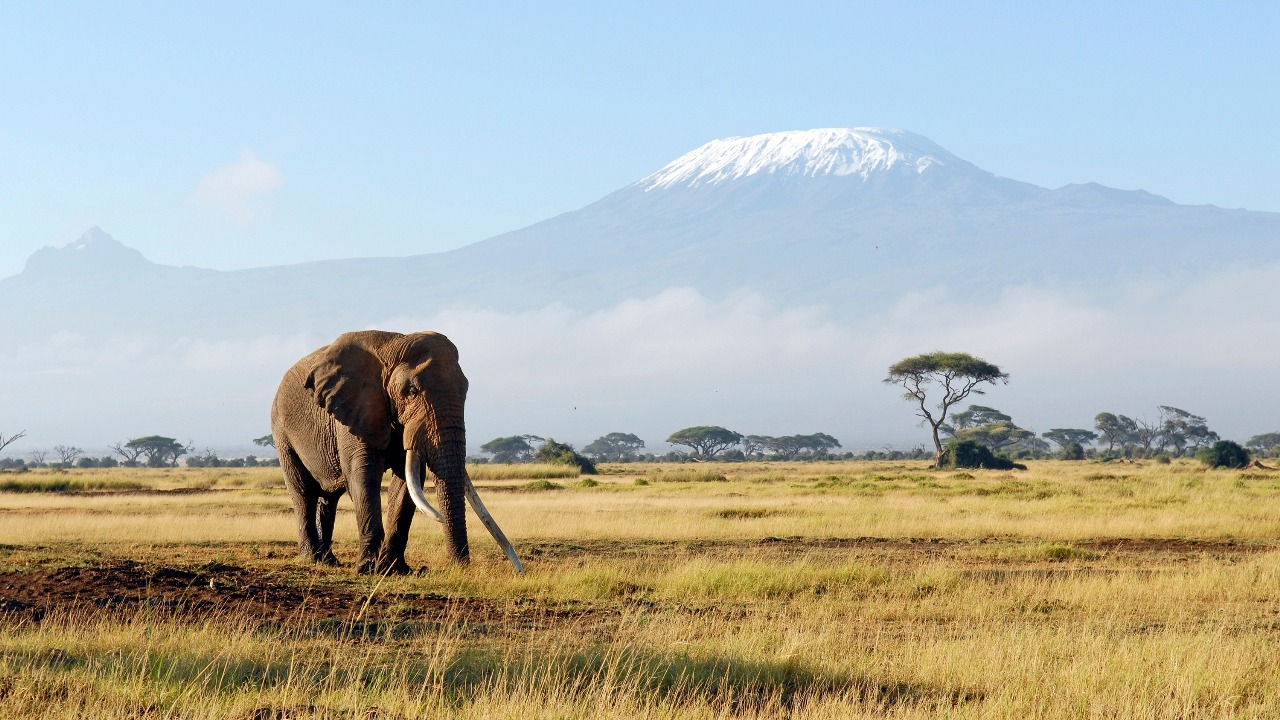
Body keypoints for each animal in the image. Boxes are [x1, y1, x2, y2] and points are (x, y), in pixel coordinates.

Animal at [270, 330, 522, 574]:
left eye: (466, 391)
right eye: (412, 391)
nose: (459, 567)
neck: (393, 347)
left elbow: (407, 483)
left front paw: (395, 569)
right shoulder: (357, 409)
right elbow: (364, 476)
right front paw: (369, 568)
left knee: (328, 499)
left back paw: (329, 561)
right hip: (281, 431)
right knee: (303, 493)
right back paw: (312, 559)